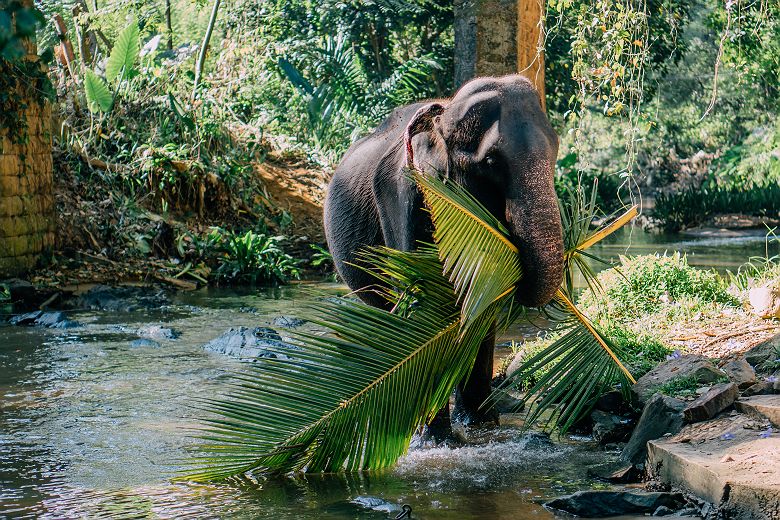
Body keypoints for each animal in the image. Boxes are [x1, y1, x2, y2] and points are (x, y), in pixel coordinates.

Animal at [320, 73, 564, 436]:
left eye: (556, 150)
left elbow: (481, 300)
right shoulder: (401, 194)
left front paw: (480, 425)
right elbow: (421, 302)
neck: (443, 114)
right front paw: (436, 438)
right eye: (491, 162)